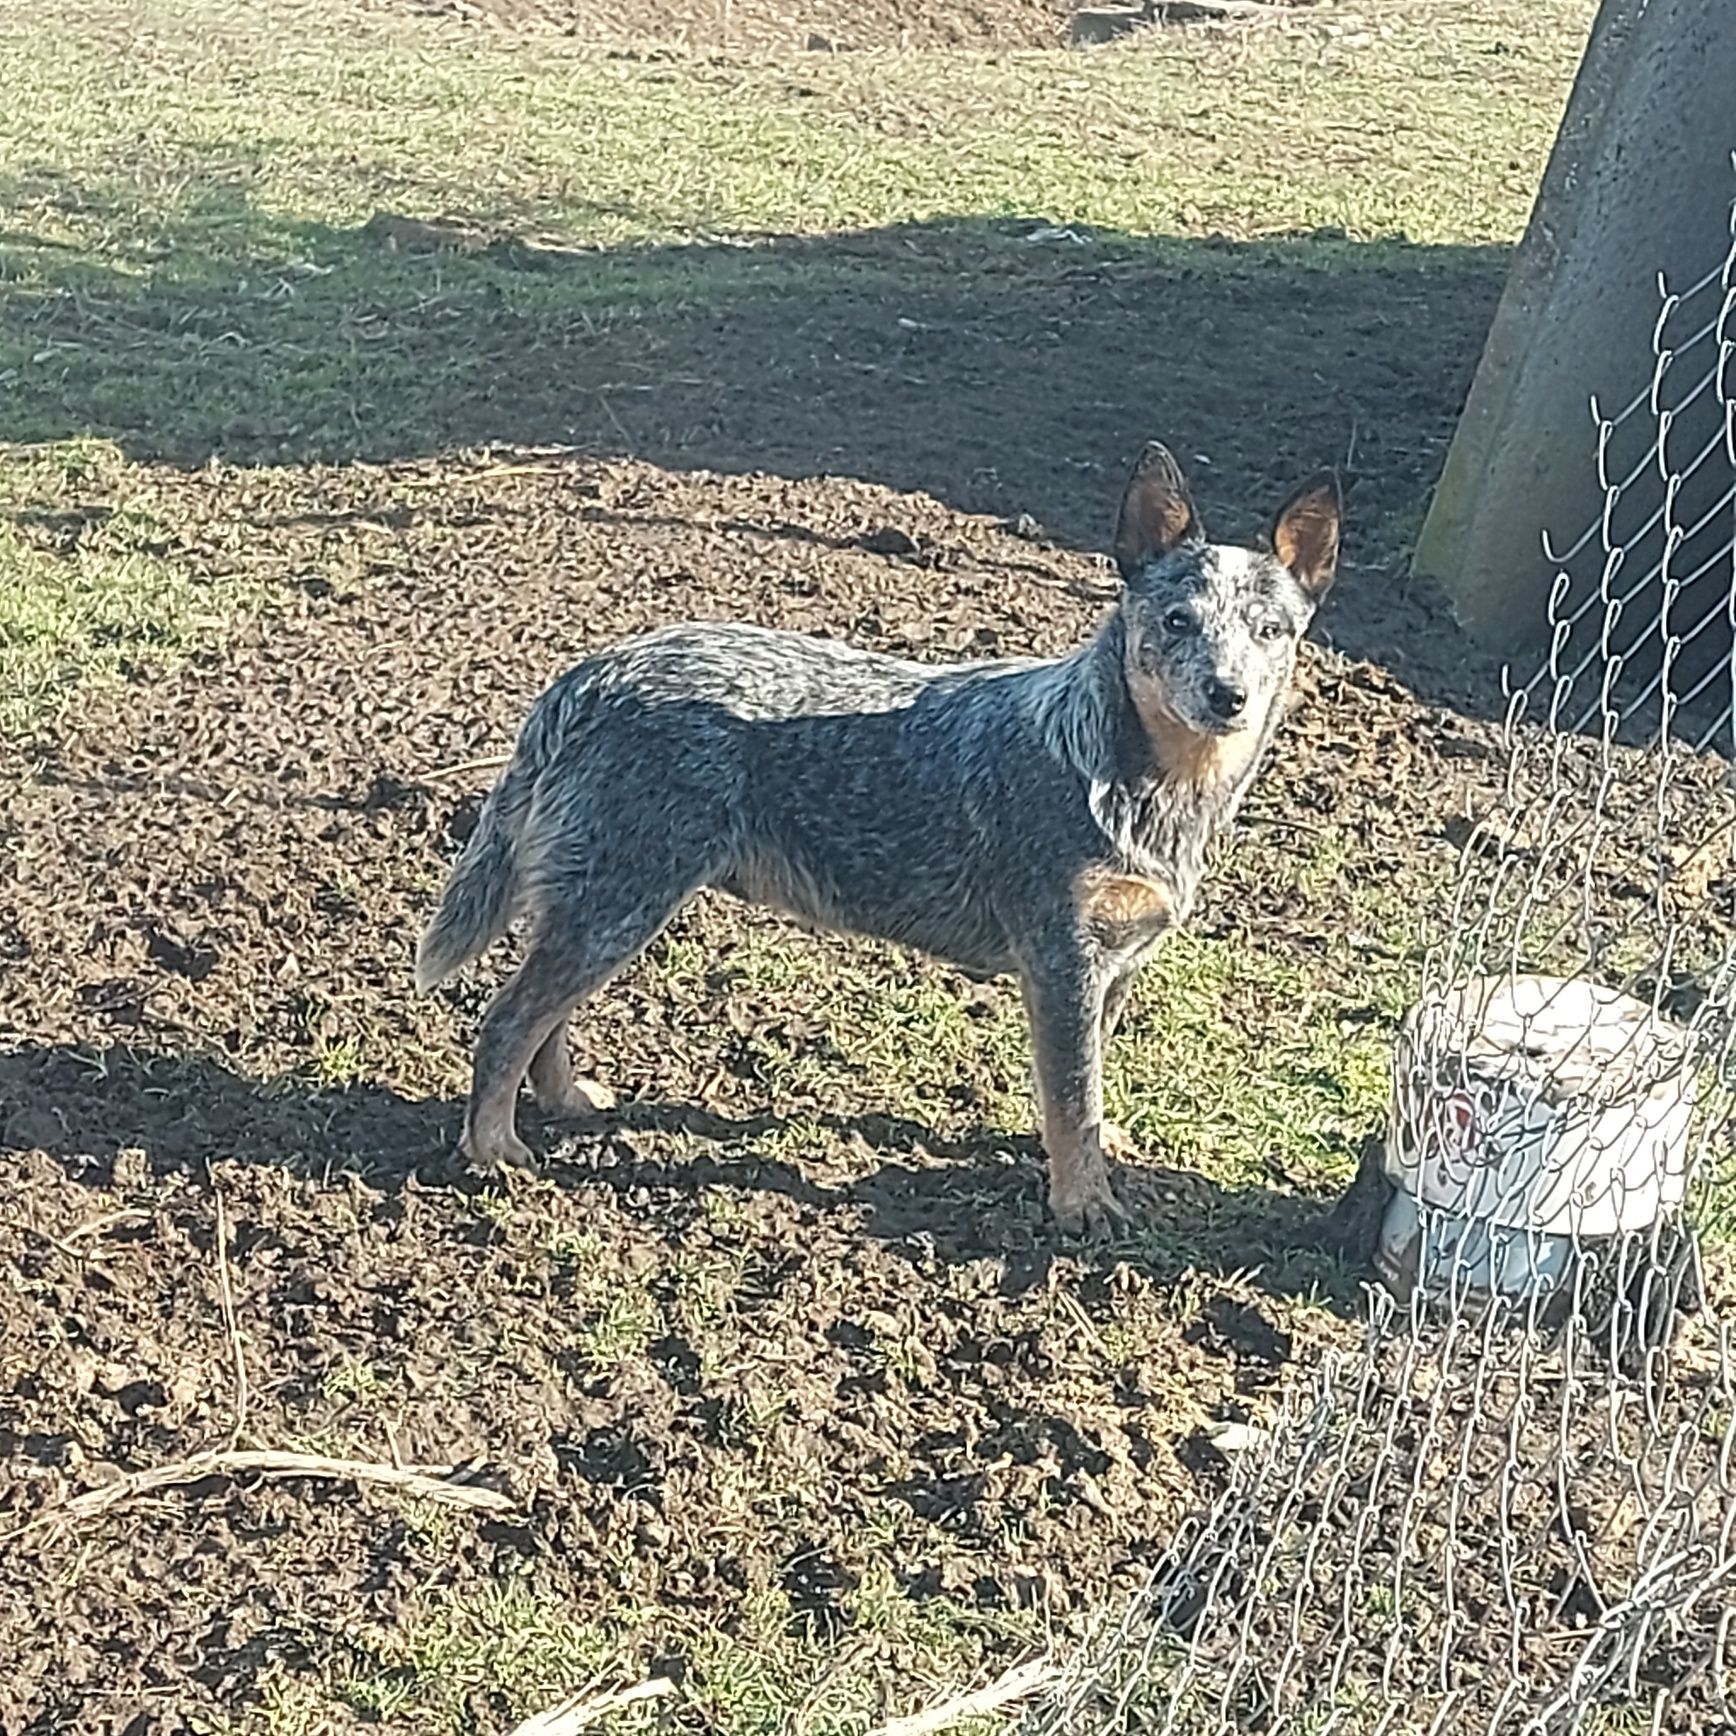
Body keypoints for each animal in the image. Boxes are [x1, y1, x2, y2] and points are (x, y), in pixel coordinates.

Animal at [420, 447, 1340, 1236]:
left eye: (1270, 631)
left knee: (544, 1011)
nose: (1228, 694)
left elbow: (1087, 1086)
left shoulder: (1115, 964)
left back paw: (564, 1101)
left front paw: (1085, 1158)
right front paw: (1082, 1206)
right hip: (623, 896)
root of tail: (588, 674)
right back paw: (493, 1149)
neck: (1143, 784)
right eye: (1178, 620)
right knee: (507, 1018)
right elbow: (1072, 1094)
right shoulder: (1060, 958)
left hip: (609, 902)